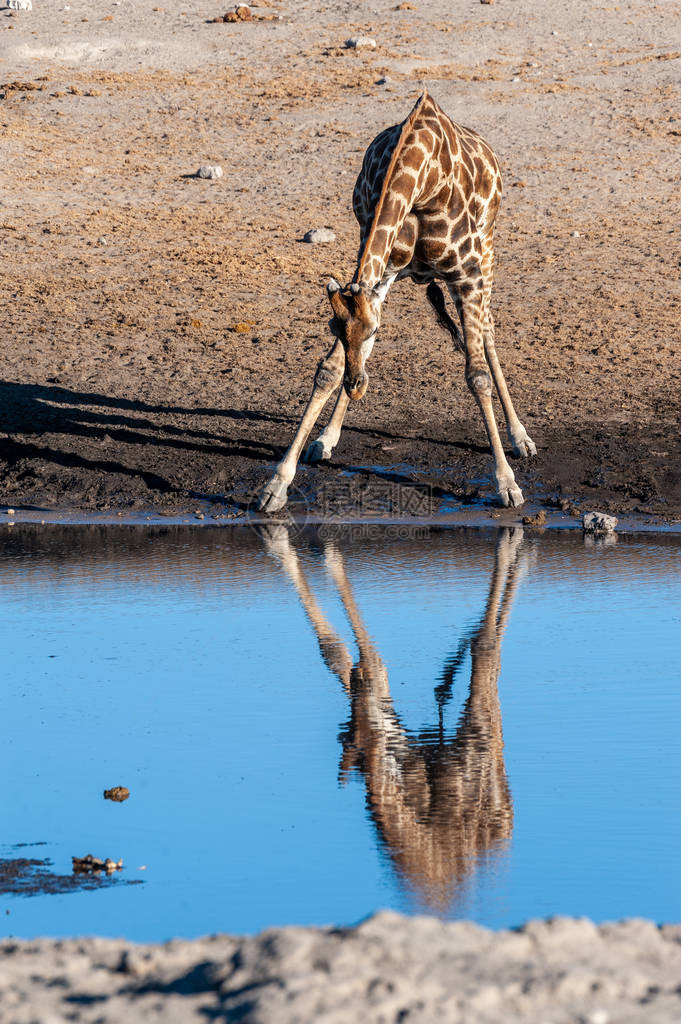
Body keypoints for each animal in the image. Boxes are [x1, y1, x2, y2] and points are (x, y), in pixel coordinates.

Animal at [258, 90, 532, 512]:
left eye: (374, 330)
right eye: (334, 328)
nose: (357, 386)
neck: (421, 180)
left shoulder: (466, 273)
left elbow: (478, 375)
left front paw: (506, 483)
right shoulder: (381, 272)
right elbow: (328, 368)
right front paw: (277, 484)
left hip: (488, 246)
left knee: (488, 331)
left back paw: (520, 437)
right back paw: (326, 437)